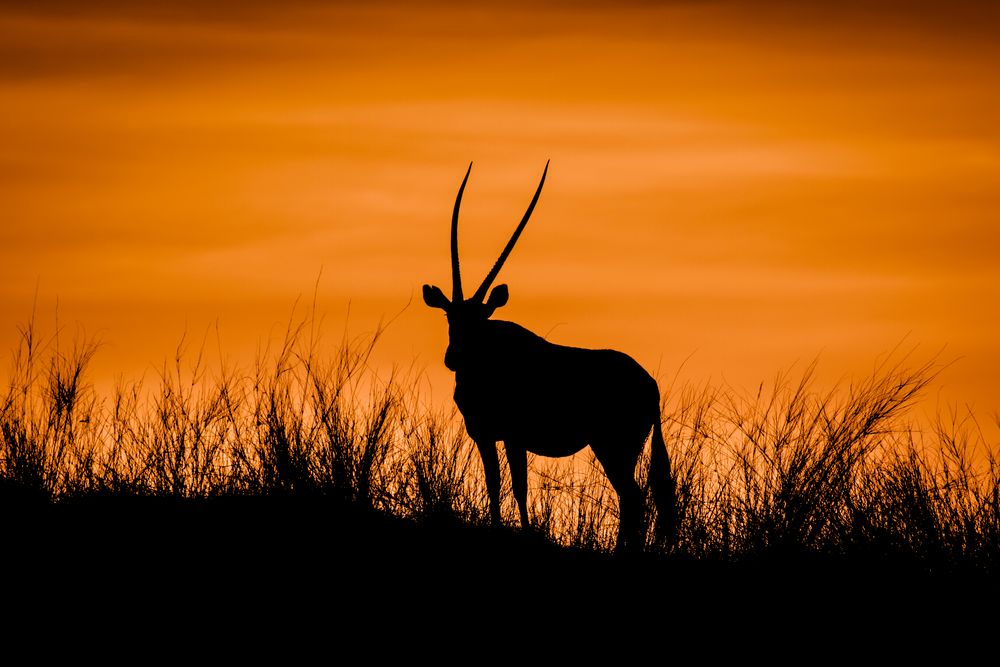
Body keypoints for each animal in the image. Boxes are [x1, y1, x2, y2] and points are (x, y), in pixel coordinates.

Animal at [424, 159, 680, 552]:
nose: (453, 358)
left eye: (480, 321)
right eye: (450, 317)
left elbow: (519, 487)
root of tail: (650, 385)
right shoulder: (484, 435)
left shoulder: (514, 437)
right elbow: (494, 485)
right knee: (631, 497)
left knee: (633, 497)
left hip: (613, 446)